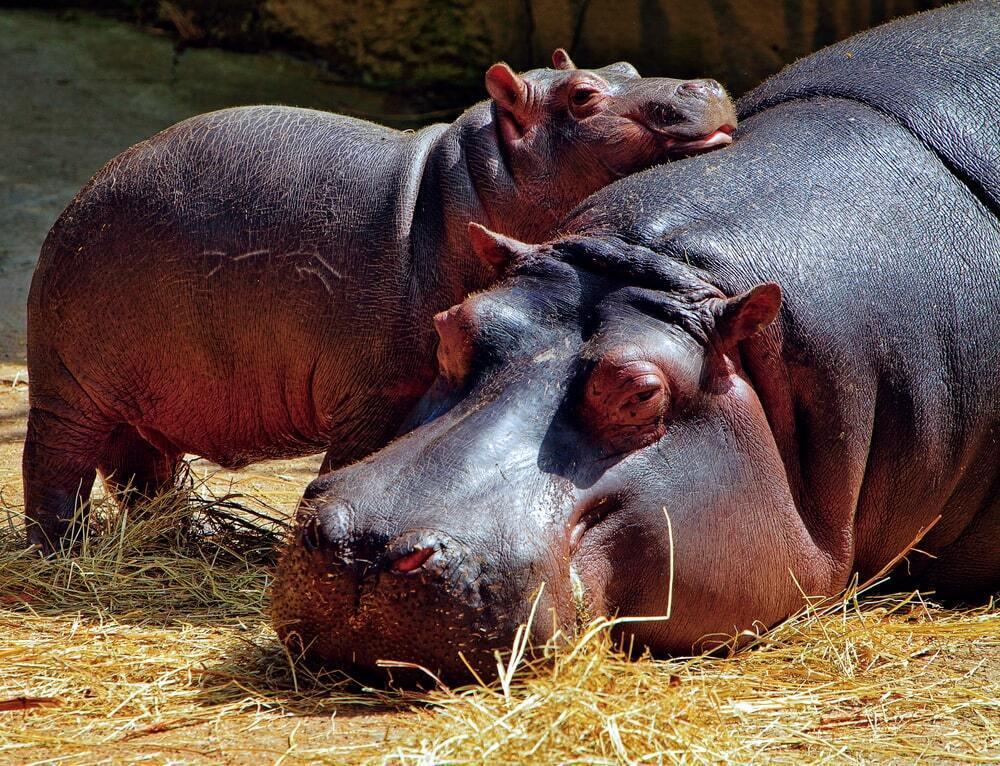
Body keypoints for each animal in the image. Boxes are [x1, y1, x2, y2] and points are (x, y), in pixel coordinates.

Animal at [24, 50, 736, 552]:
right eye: (583, 96)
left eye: (628, 69)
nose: (704, 86)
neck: (469, 186)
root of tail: (73, 206)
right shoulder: (373, 390)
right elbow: (352, 459)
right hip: (67, 387)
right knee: (54, 464)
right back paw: (63, 550)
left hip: (146, 399)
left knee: (142, 472)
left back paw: (181, 536)